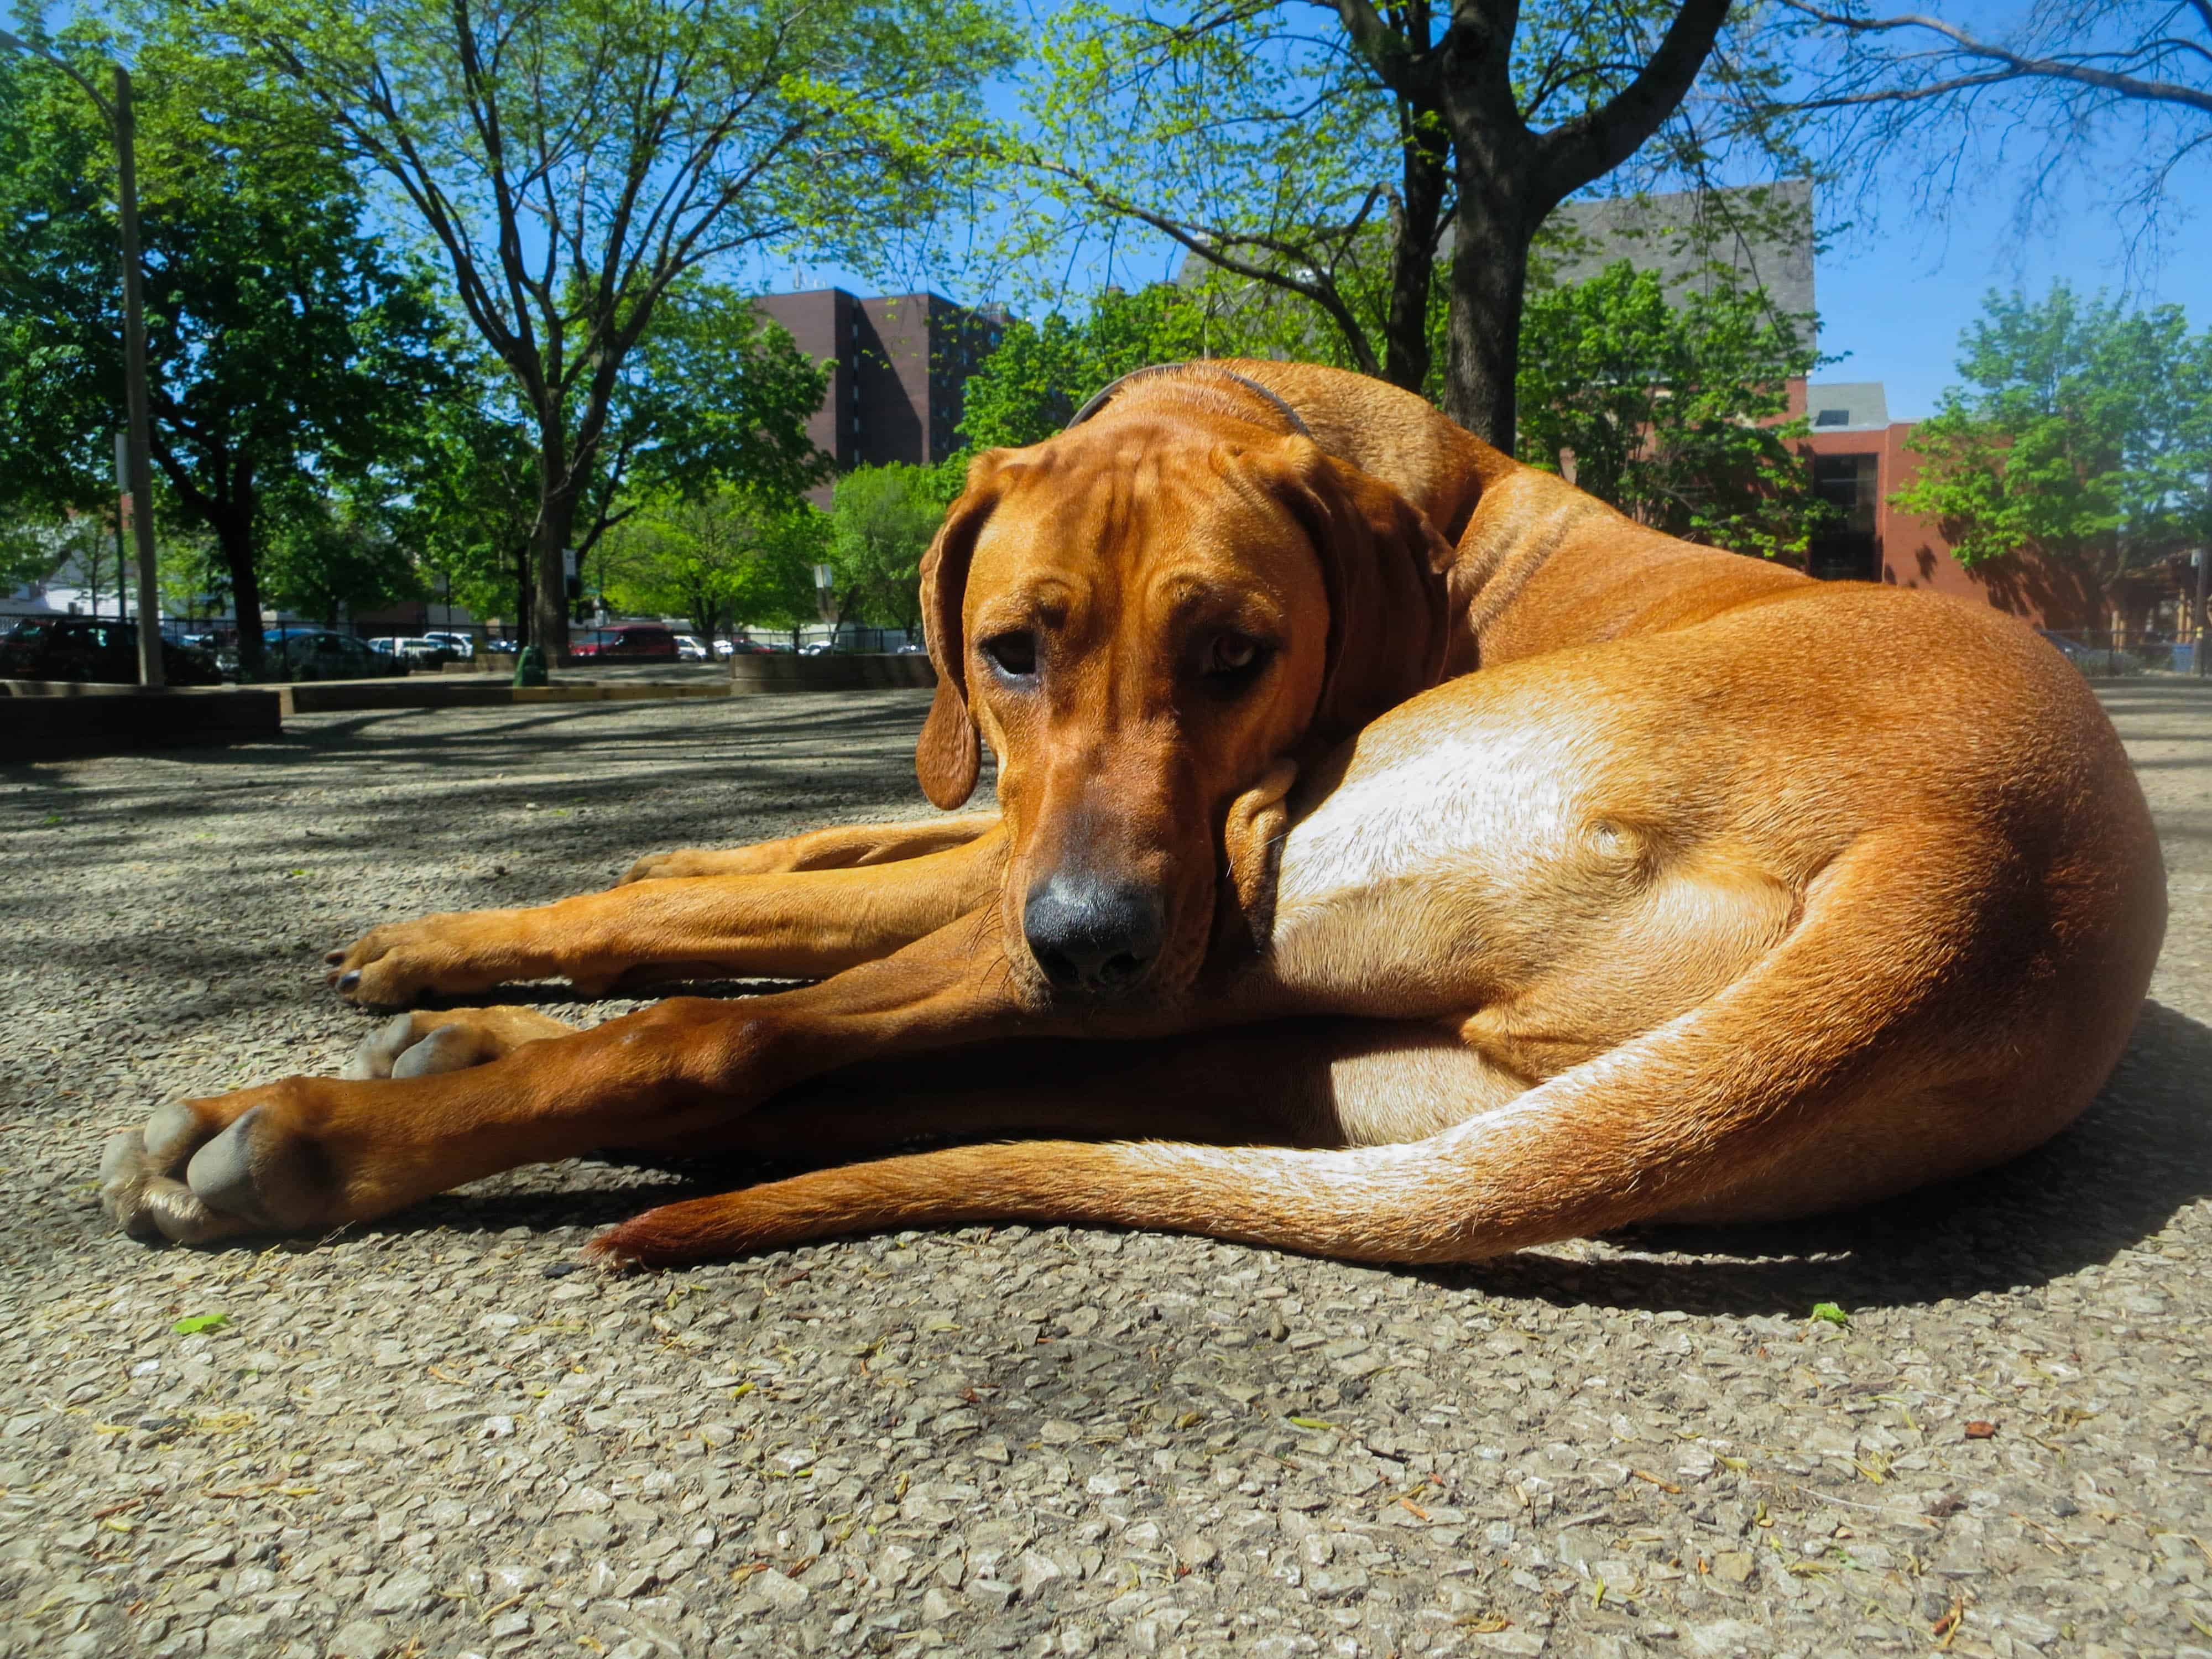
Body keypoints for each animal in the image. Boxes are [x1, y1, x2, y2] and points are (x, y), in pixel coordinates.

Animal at [95, 363, 2168, 1265]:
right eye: (1010, 648)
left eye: (1240, 650)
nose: (1087, 941)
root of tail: (1979, 864)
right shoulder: (1008, 823)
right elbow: (787, 857)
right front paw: (474, 936)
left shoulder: (1093, 863)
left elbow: (751, 930)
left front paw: (450, 970)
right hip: (1338, 1066)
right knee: (883, 1084)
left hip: (1270, 903)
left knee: (730, 1051)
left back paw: (322, 1136)